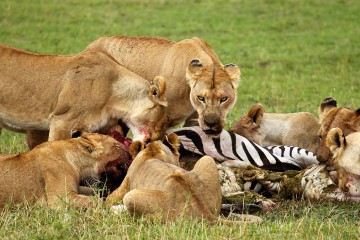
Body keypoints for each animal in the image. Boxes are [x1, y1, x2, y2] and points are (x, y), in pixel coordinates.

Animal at [105, 133, 260, 223]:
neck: (152, 152)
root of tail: (202, 211)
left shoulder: (125, 184)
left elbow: (108, 199)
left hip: (131, 196)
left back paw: (118, 211)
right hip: (207, 160)